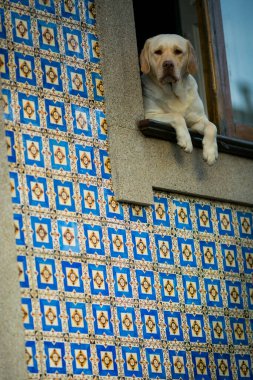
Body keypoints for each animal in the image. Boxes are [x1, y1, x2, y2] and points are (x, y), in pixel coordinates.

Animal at [139, 32, 218, 163]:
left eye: (178, 51)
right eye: (158, 52)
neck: (174, 92)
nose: (168, 64)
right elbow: (177, 116)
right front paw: (185, 140)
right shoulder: (150, 115)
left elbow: (212, 126)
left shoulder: (197, 120)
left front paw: (211, 152)